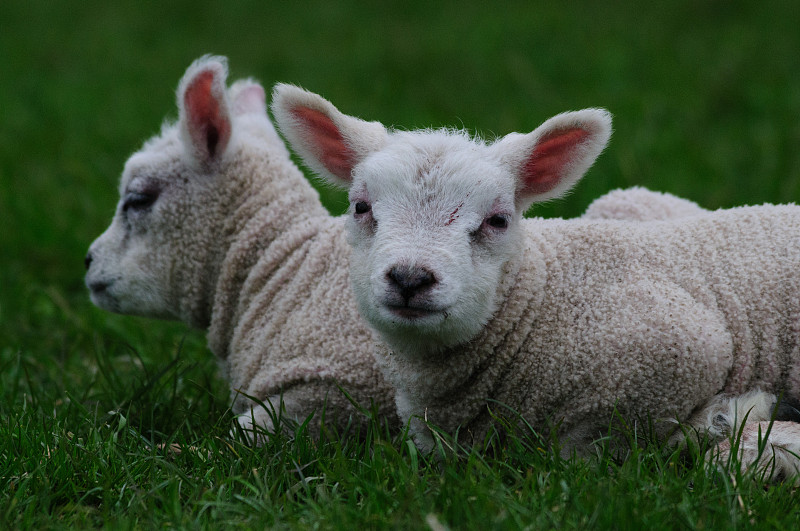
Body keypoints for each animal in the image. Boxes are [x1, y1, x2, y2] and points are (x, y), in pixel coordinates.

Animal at [272, 84, 800, 482]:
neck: (541, 299)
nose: (409, 277)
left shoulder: (680, 351)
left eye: (498, 220)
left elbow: (590, 444)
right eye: (361, 207)